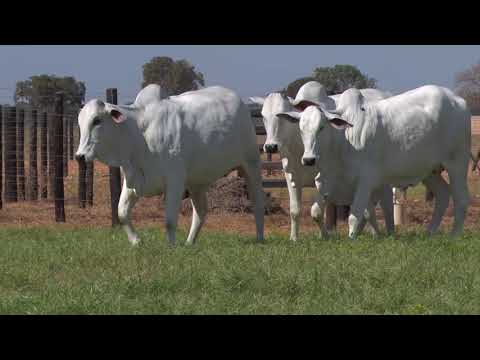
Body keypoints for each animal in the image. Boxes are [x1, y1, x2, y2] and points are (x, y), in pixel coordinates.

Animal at [79, 86, 266, 246]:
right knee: (200, 211)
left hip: (251, 163)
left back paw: (259, 238)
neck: (139, 133)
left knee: (257, 203)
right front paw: (136, 242)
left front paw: (171, 246)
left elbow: (169, 220)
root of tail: (239, 101)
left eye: (97, 120)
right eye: (80, 123)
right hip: (196, 182)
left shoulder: (175, 181)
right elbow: (122, 212)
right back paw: (189, 243)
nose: (79, 156)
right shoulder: (133, 180)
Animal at [251, 81, 394, 239]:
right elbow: (295, 210)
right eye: (263, 116)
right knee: (370, 208)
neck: (299, 145)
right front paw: (294, 238)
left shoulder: (326, 177)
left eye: (281, 116)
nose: (271, 146)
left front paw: (326, 236)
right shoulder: (292, 175)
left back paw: (389, 232)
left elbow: (317, 212)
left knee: (386, 202)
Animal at [278, 85, 472, 239]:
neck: (343, 139)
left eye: (322, 127)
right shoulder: (327, 179)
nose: (308, 159)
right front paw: (326, 237)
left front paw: (352, 238)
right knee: (443, 195)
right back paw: (430, 232)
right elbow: (316, 212)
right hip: (429, 171)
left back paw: (454, 236)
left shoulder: (366, 181)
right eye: (301, 129)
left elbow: (355, 215)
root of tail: (459, 101)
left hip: (457, 163)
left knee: (461, 198)